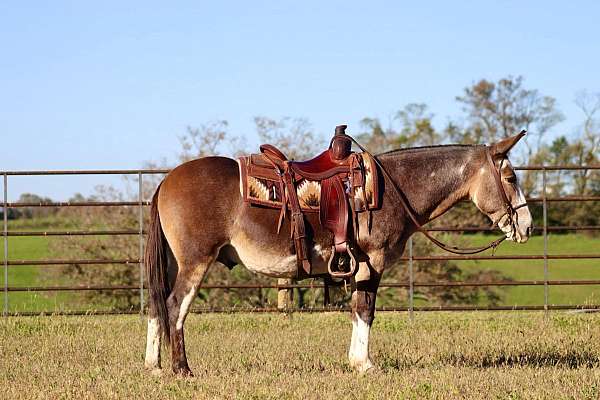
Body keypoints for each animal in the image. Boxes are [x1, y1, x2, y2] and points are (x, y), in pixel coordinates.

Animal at [143, 133, 532, 376]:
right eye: (511, 178)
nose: (527, 226)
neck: (391, 190)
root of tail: (166, 180)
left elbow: (358, 312)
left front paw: (357, 362)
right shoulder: (371, 264)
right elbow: (365, 312)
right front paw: (365, 364)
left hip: (174, 263)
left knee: (158, 305)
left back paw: (154, 366)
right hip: (195, 261)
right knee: (176, 306)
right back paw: (182, 370)